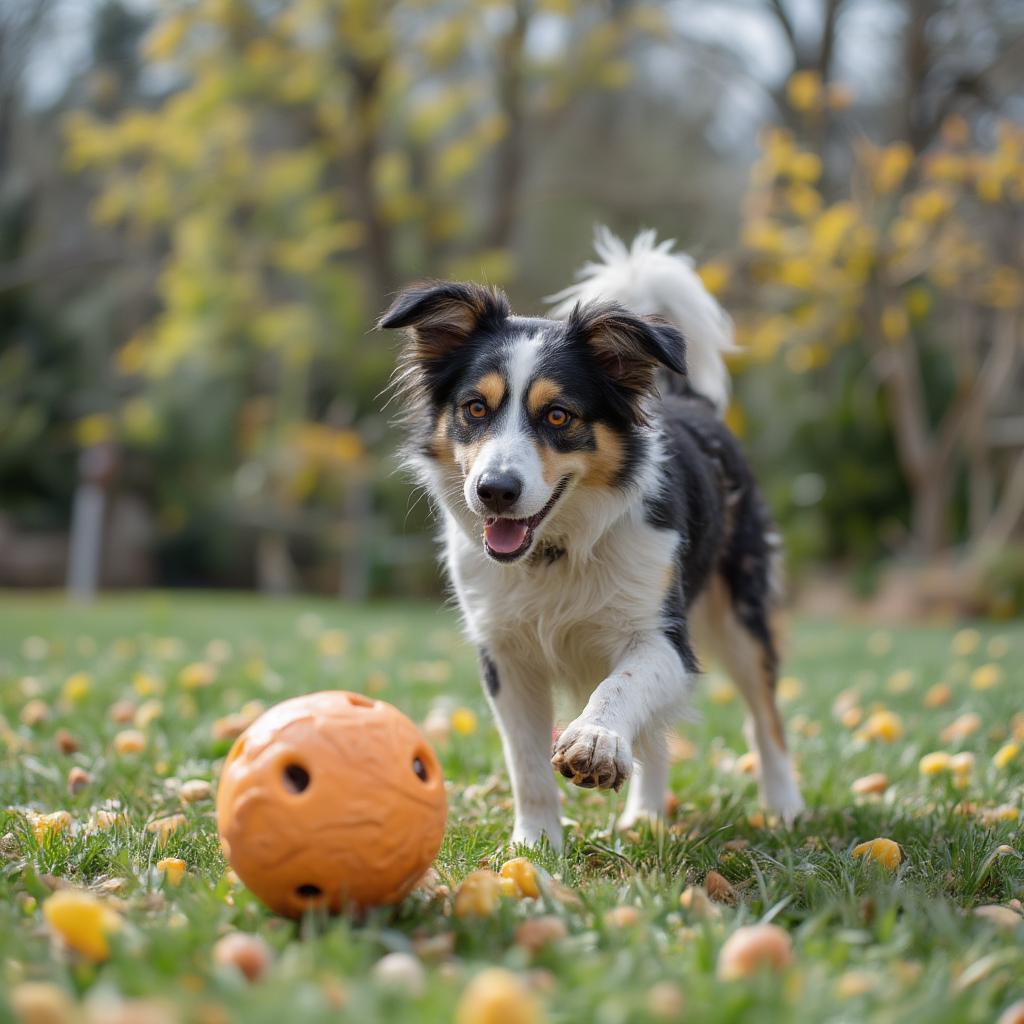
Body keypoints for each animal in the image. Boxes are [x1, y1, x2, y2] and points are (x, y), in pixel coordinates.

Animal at [380, 232, 802, 847]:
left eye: (558, 416)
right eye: (475, 408)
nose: (494, 491)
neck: (555, 550)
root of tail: (690, 399)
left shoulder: (664, 637)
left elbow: (621, 686)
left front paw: (596, 740)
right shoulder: (504, 656)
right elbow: (525, 761)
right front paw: (535, 843)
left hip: (741, 610)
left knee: (764, 718)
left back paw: (785, 808)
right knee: (658, 739)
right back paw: (646, 815)